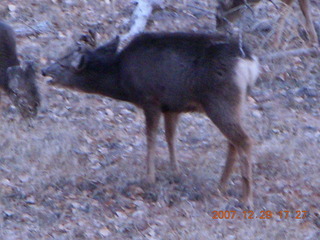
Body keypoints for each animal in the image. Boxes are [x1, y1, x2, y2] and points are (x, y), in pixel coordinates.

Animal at [41, 32, 258, 208]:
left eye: (63, 64)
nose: (44, 70)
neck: (120, 77)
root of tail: (249, 62)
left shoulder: (150, 99)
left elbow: (151, 138)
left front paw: (149, 178)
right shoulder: (171, 106)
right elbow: (170, 137)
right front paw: (175, 171)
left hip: (219, 100)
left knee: (244, 140)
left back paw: (246, 199)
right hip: (237, 103)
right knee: (233, 141)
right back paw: (220, 186)